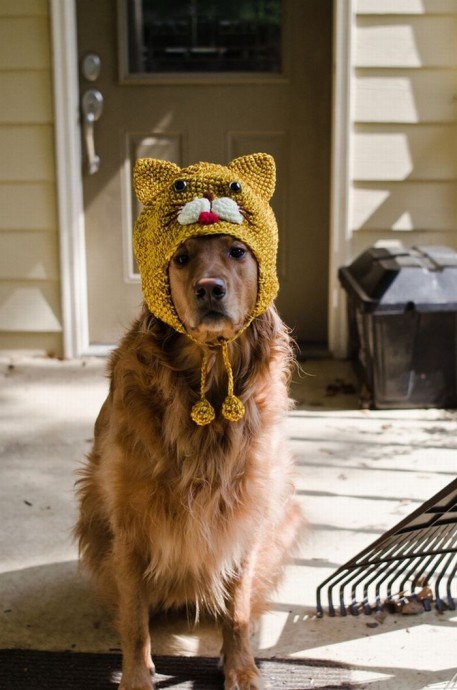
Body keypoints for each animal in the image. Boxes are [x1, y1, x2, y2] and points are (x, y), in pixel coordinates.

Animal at [75, 156, 302, 688]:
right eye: (181, 258)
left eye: (237, 252)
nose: (209, 289)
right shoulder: (130, 522)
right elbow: (135, 619)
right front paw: (137, 678)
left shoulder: (245, 514)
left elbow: (236, 608)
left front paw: (241, 668)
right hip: (92, 507)